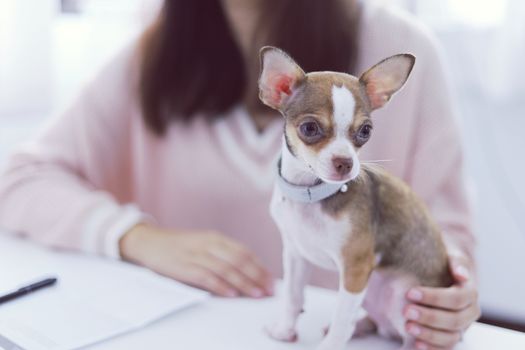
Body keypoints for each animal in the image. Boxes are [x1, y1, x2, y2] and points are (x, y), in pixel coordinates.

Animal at [258, 47, 450, 350]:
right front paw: (285, 331)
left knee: (414, 339)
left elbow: (341, 314)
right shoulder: (296, 255)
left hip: (401, 295)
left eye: (365, 131)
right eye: (309, 128)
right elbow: (292, 296)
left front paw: (330, 346)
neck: (311, 197)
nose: (345, 162)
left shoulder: (356, 268)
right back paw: (362, 327)